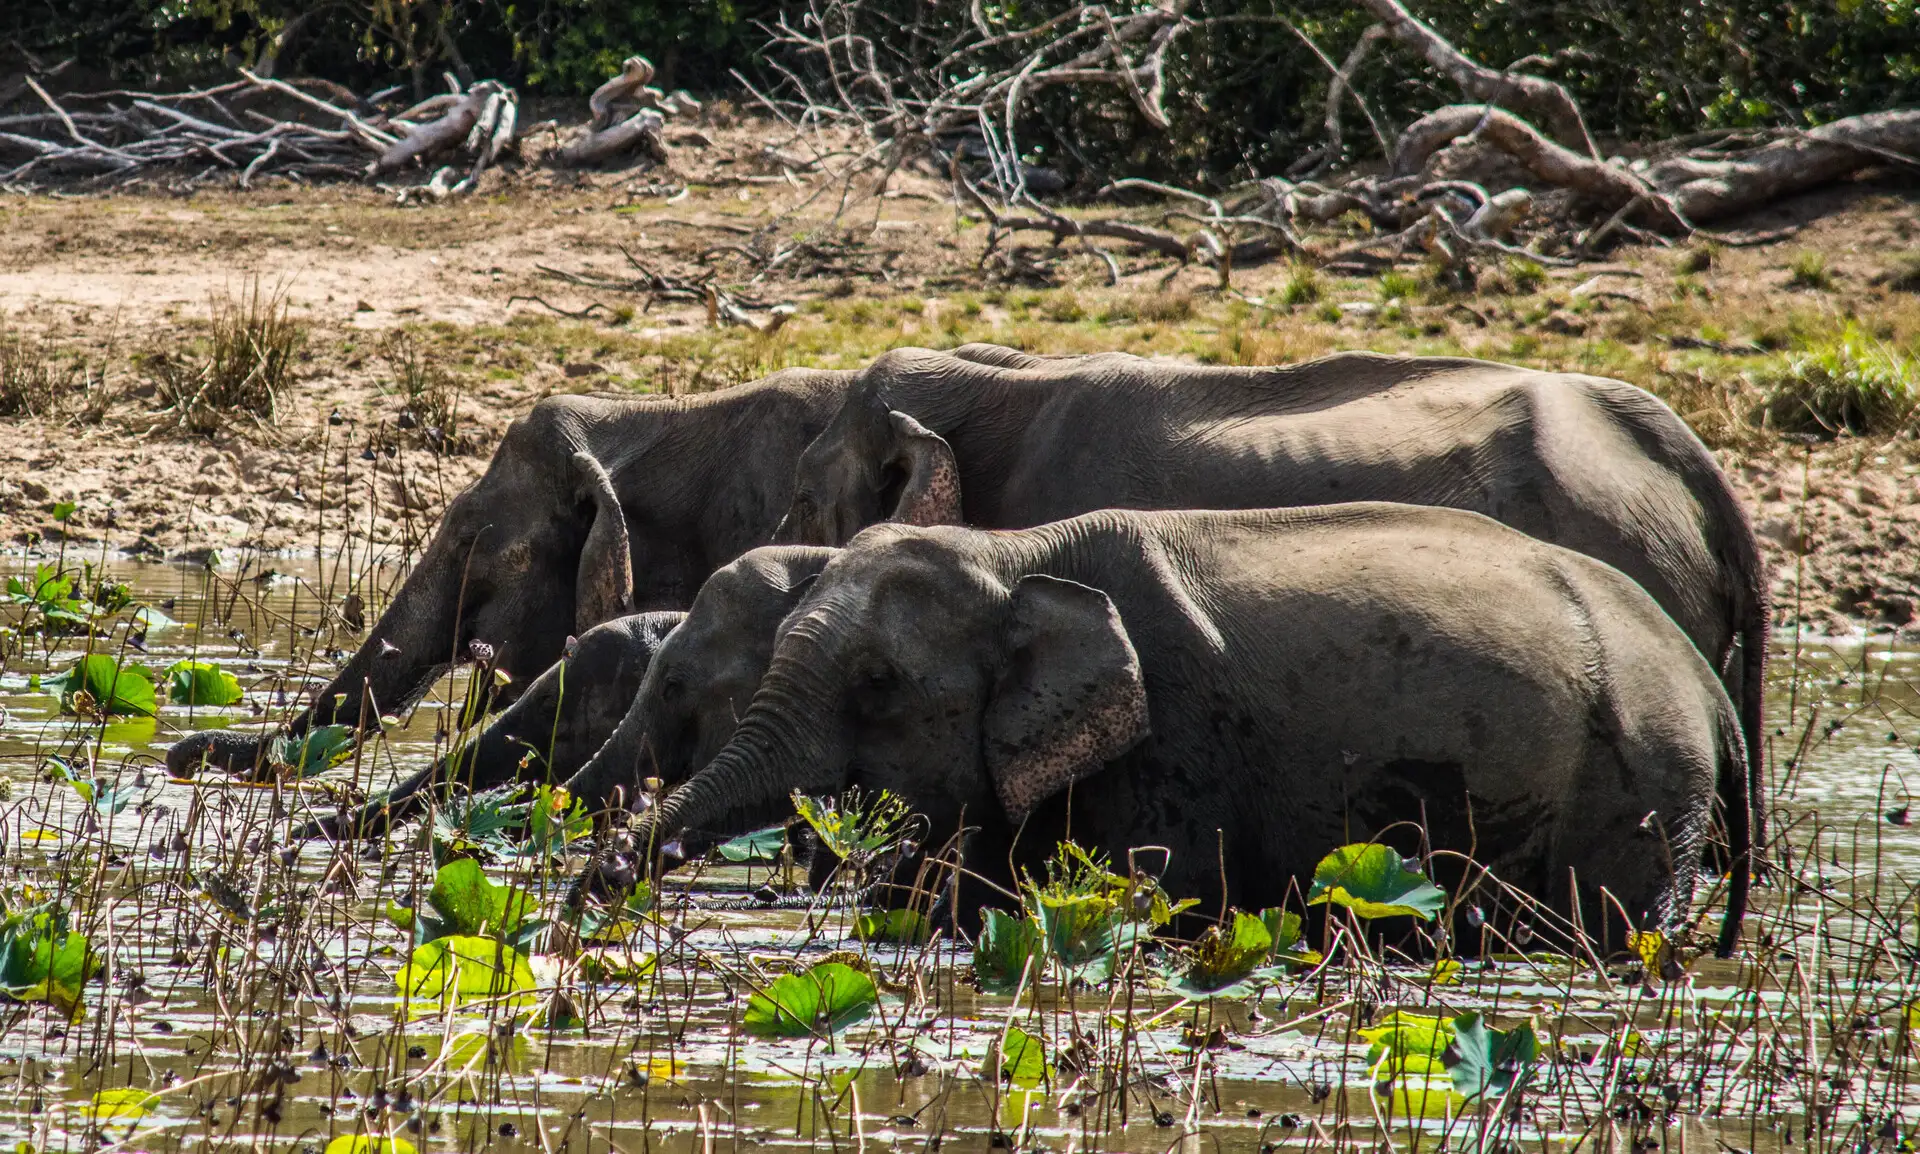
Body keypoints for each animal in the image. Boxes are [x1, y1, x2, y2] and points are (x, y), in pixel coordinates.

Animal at [629, 506, 1758, 952]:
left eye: (877, 682)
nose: (602, 878)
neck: (1018, 551)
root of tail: (1711, 693)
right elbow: (962, 899)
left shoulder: (1176, 744)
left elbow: (1159, 897)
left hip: (1636, 782)